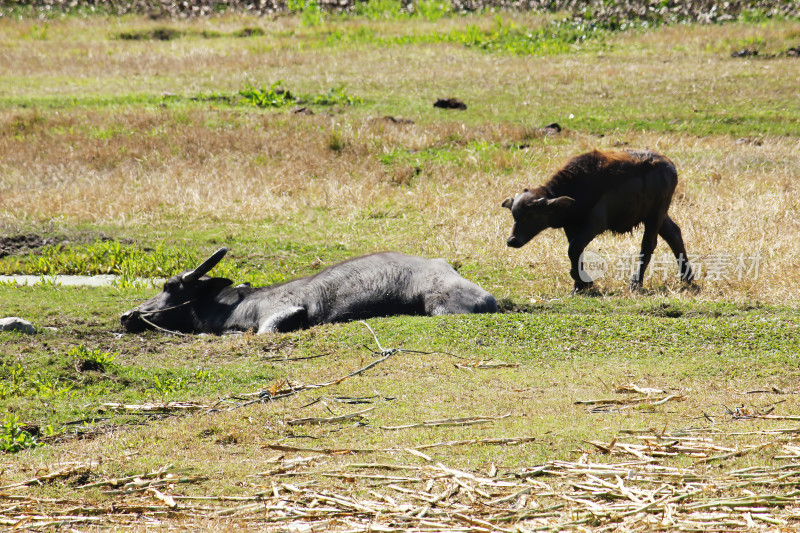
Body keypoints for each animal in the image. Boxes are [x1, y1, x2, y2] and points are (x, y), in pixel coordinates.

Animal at [504, 149, 692, 290]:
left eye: (531, 215)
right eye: (514, 215)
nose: (512, 240)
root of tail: (669, 166)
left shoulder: (596, 224)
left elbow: (573, 248)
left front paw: (582, 281)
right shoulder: (571, 226)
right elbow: (575, 251)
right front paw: (579, 285)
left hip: (656, 213)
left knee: (649, 244)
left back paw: (635, 282)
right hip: (655, 214)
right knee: (674, 234)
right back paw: (687, 277)